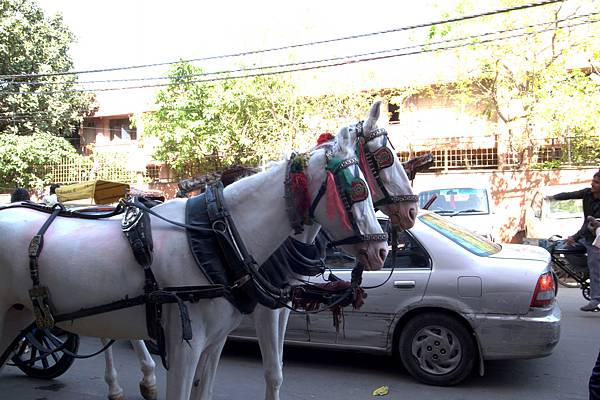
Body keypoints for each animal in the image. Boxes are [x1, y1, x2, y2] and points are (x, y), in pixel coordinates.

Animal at [0, 132, 386, 400]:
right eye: (358, 189)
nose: (382, 249)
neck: (216, 240)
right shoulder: (183, 346)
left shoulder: (214, 343)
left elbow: (208, 390)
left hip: (20, 315)